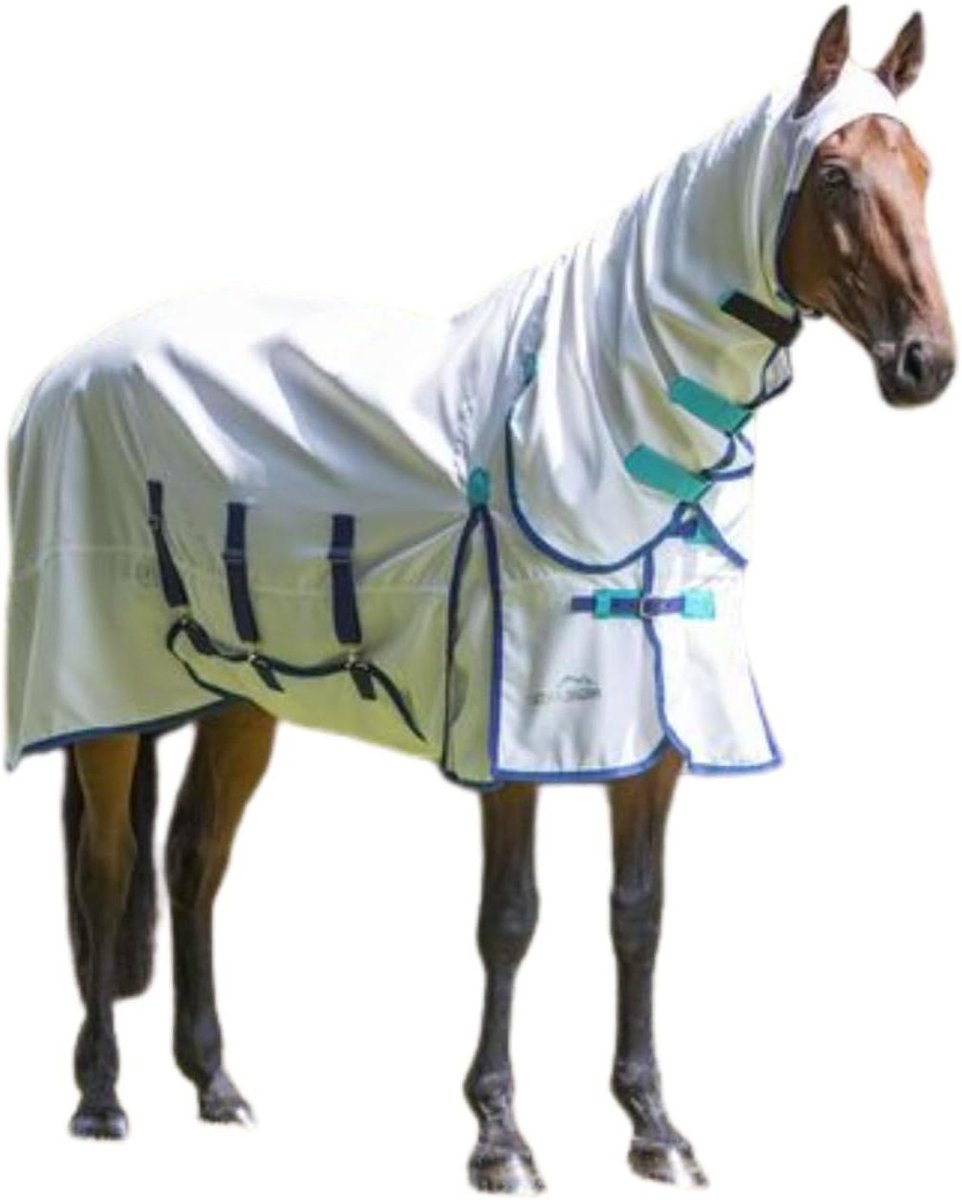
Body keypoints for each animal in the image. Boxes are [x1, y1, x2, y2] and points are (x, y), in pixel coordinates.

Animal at [3, 7, 954, 1192]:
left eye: (922, 170)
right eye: (832, 174)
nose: (925, 362)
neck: (599, 418)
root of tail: (69, 370)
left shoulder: (653, 736)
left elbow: (637, 916)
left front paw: (654, 1127)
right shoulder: (516, 731)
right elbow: (509, 918)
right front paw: (499, 1136)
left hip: (238, 700)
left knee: (191, 863)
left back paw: (216, 1084)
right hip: (103, 699)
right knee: (106, 869)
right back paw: (99, 1100)